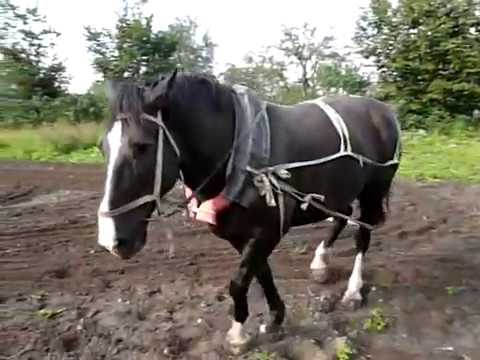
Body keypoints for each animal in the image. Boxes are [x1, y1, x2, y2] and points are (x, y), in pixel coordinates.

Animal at [96, 70, 402, 354]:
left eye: (142, 146)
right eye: (103, 147)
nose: (111, 240)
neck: (237, 155)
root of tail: (384, 110)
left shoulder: (268, 231)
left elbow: (239, 282)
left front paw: (238, 335)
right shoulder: (238, 233)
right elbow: (261, 273)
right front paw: (275, 318)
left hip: (373, 190)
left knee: (362, 235)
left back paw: (353, 291)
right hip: (337, 191)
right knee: (341, 215)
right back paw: (321, 263)